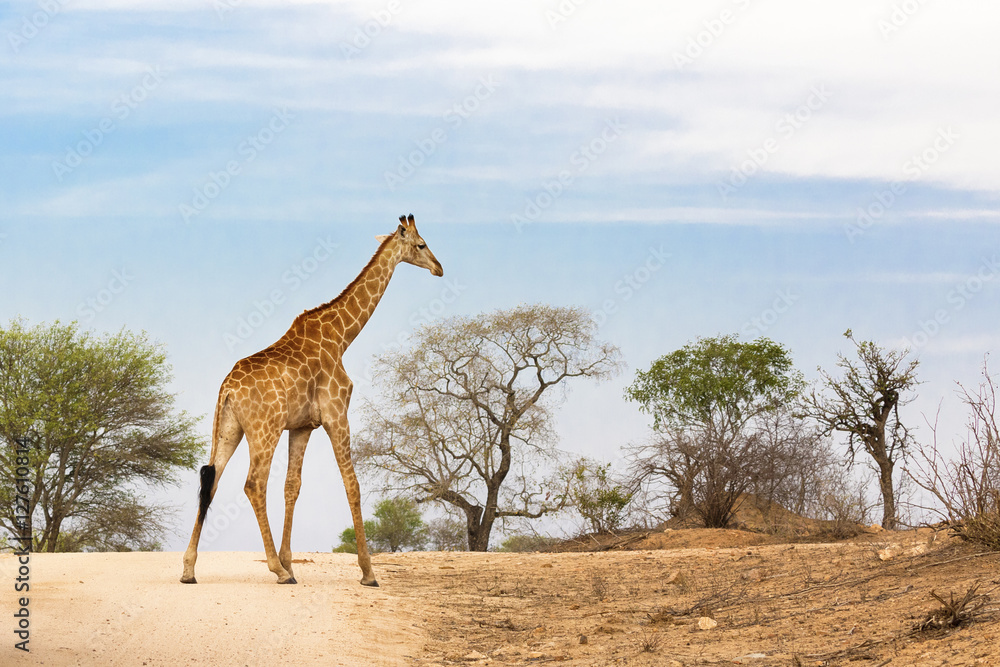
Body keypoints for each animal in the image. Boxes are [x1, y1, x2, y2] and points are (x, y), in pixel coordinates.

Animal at [180, 214, 443, 587]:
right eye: (422, 244)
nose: (439, 268)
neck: (342, 335)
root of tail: (227, 389)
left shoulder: (302, 426)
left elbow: (293, 486)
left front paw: (291, 563)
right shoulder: (336, 414)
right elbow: (352, 485)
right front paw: (367, 572)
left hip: (230, 429)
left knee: (211, 480)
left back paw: (189, 570)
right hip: (264, 430)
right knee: (253, 484)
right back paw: (275, 570)